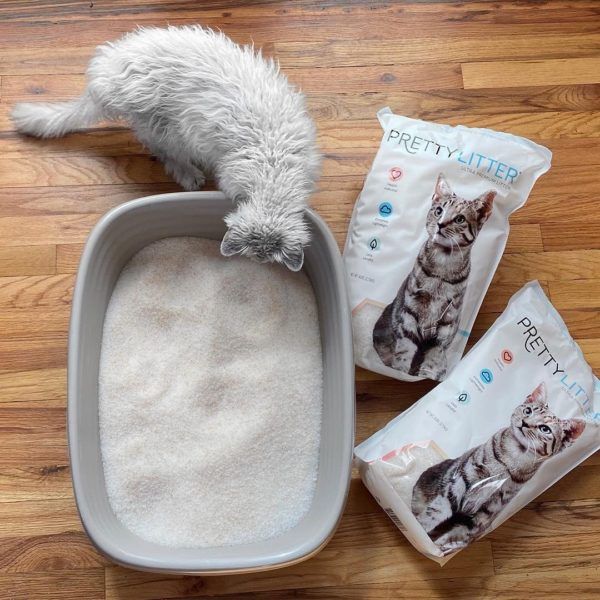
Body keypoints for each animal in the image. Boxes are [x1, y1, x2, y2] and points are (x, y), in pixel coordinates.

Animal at [10, 25, 318, 272]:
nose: (258, 266)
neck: (273, 171)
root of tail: (102, 80)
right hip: (164, 126)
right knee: (165, 153)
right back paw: (188, 174)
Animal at [372, 172, 494, 380]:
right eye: (438, 211)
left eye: (460, 219)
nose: (440, 224)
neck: (441, 269)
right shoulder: (410, 312)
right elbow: (404, 352)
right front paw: (400, 370)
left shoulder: (446, 322)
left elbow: (434, 357)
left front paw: (427, 372)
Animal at [410, 382, 584, 556]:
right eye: (528, 411)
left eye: (545, 429)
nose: (524, 422)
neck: (513, 457)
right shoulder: (456, 486)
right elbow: (431, 516)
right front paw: (422, 534)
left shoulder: (486, 513)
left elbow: (456, 534)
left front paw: (440, 546)